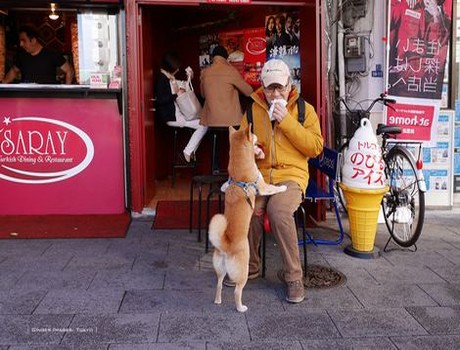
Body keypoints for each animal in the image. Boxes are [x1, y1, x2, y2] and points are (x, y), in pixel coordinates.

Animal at [209, 124, 288, 314]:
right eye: (252, 134)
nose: (258, 137)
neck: (239, 173)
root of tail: (226, 245)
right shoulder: (263, 187)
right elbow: (273, 188)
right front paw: (282, 187)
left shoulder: (226, 184)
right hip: (243, 270)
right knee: (237, 291)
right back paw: (241, 308)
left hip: (220, 269)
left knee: (219, 285)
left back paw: (218, 301)